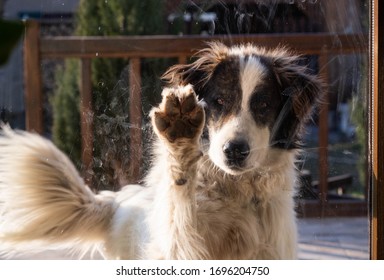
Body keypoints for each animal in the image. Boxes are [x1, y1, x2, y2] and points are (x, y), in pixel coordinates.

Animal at [0, 42, 322, 260]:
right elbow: (182, 215)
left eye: (263, 105)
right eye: (219, 101)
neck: (234, 192)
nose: (234, 151)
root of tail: (120, 200)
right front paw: (180, 139)